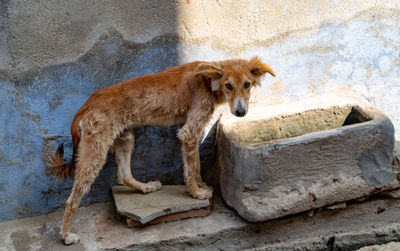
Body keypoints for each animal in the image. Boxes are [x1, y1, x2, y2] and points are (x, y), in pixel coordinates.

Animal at [48, 56, 276, 243]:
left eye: (247, 85)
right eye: (228, 86)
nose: (240, 112)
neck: (207, 81)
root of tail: (86, 104)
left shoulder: (188, 129)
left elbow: (196, 164)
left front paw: (202, 185)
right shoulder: (189, 132)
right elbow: (190, 170)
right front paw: (196, 193)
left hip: (125, 138)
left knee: (123, 175)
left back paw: (145, 188)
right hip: (96, 150)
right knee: (72, 199)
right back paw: (66, 235)